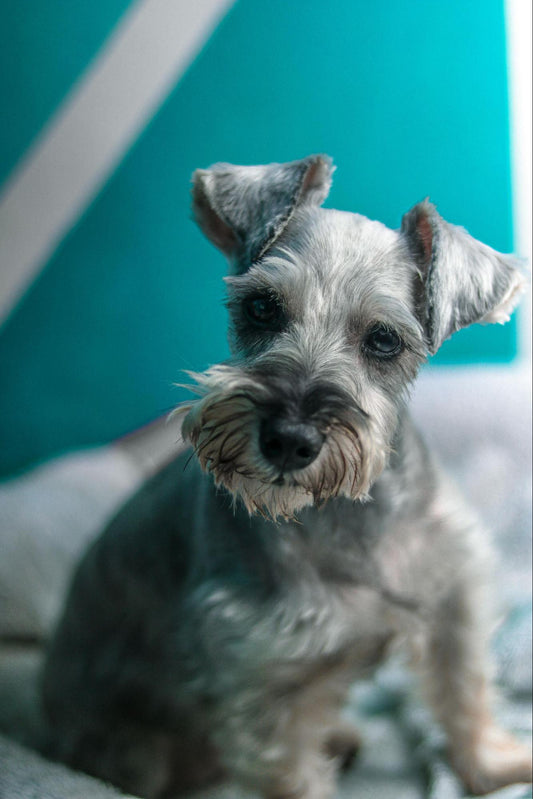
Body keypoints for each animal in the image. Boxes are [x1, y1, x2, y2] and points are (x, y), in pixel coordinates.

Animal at [40, 158, 528, 799]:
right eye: (262, 307)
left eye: (384, 339)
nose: (289, 439)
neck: (341, 514)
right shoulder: (265, 688)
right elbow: (294, 775)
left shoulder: (456, 595)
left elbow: (465, 691)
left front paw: (496, 765)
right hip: (139, 750)